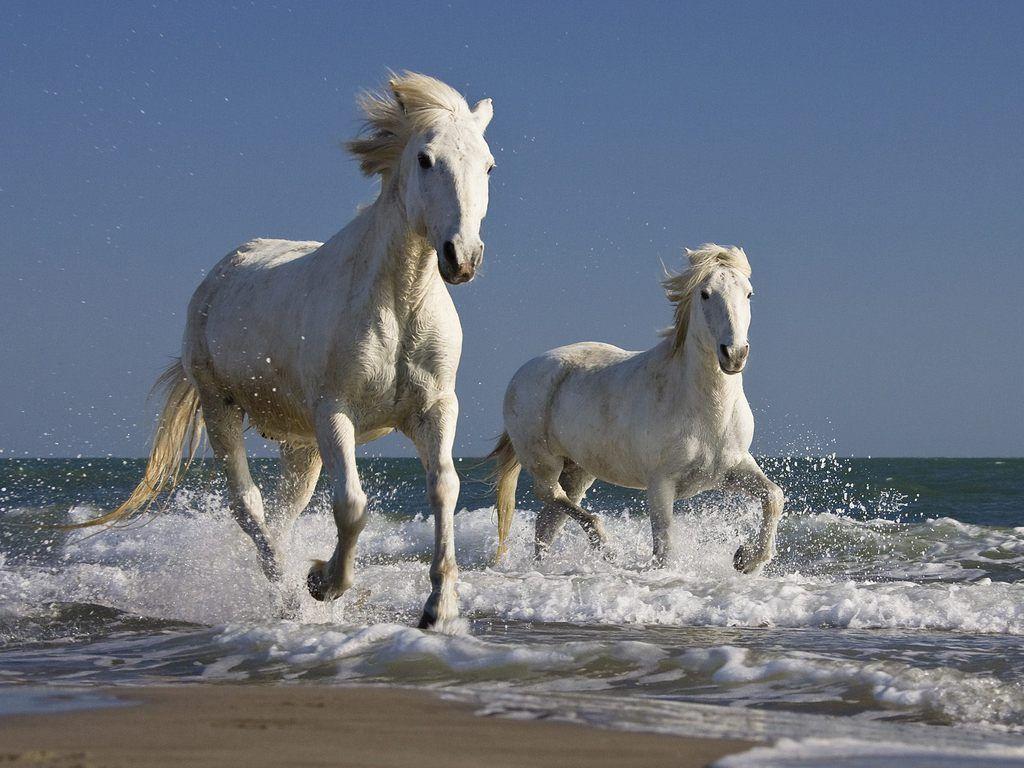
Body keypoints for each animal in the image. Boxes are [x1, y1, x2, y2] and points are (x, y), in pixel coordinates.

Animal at [75, 72, 496, 630]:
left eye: (489, 165)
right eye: (426, 159)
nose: (462, 257)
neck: (398, 301)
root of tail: (221, 273)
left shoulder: (436, 409)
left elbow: (444, 488)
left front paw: (438, 608)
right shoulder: (334, 412)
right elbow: (352, 505)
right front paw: (323, 583)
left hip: (301, 445)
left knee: (281, 515)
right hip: (222, 410)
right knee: (249, 507)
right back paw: (290, 597)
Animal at [489, 245, 785, 573]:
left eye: (749, 293)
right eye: (705, 294)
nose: (734, 354)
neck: (706, 412)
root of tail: (523, 371)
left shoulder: (731, 470)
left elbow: (774, 495)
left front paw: (746, 559)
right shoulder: (660, 485)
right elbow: (664, 547)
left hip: (578, 471)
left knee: (548, 521)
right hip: (544, 462)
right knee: (551, 496)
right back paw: (604, 547)